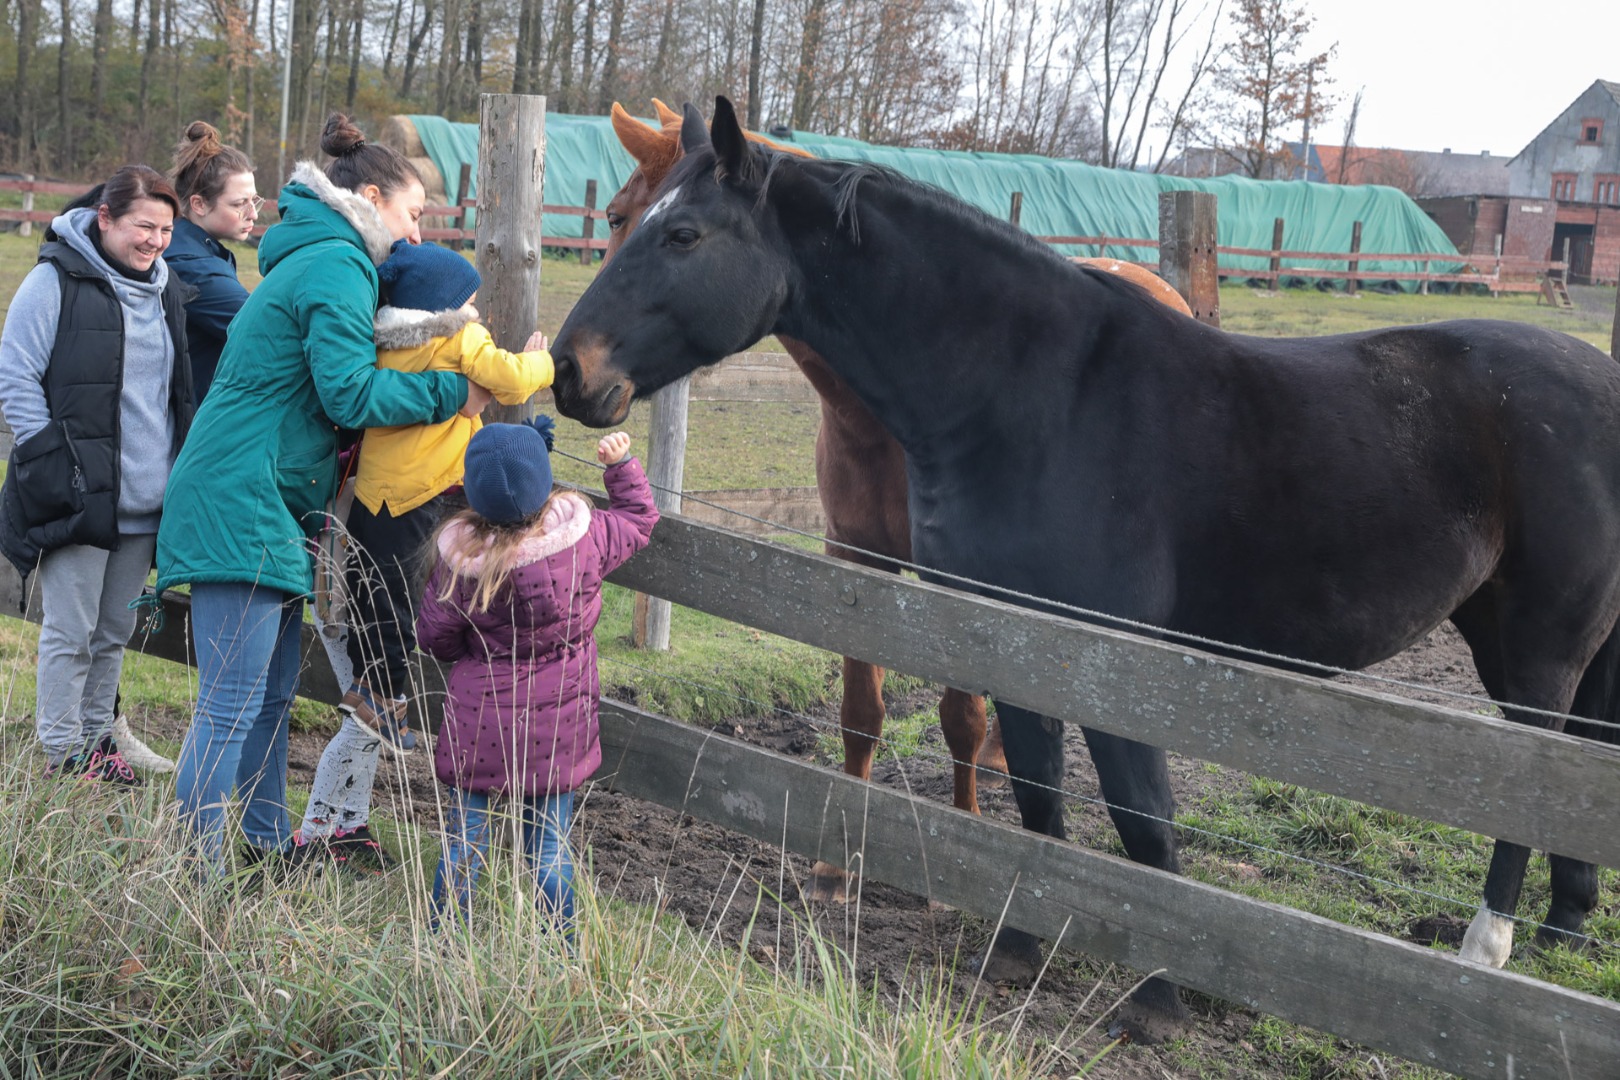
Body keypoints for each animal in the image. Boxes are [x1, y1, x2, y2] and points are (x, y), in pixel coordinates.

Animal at [609, 105, 1192, 906]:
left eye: (630, 221)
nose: (577, 364)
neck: (887, 419)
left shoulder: (958, 588)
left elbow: (960, 716)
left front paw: (961, 850)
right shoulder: (854, 560)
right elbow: (861, 713)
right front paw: (834, 862)